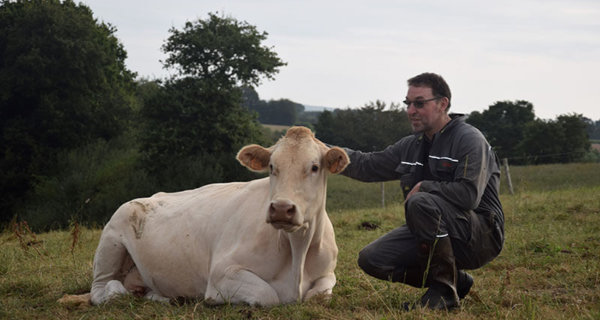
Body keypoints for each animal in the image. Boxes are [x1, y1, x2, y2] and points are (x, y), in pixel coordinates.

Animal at [58, 126, 350, 306]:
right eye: (271, 166)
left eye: (314, 167)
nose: (280, 208)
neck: (297, 249)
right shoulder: (222, 273)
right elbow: (268, 295)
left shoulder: (328, 273)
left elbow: (319, 294)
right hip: (111, 241)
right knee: (102, 289)